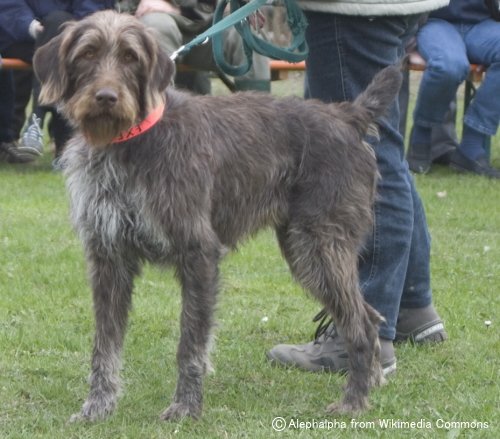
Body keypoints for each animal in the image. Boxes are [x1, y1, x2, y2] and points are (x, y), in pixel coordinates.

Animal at [34, 10, 402, 422]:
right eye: (87, 53)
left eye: (130, 57)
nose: (106, 97)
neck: (130, 141)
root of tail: (347, 115)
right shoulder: (108, 257)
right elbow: (104, 344)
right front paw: (98, 406)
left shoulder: (198, 253)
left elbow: (191, 343)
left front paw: (185, 407)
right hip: (306, 248)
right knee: (371, 316)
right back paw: (371, 382)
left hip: (319, 245)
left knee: (361, 324)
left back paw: (353, 401)